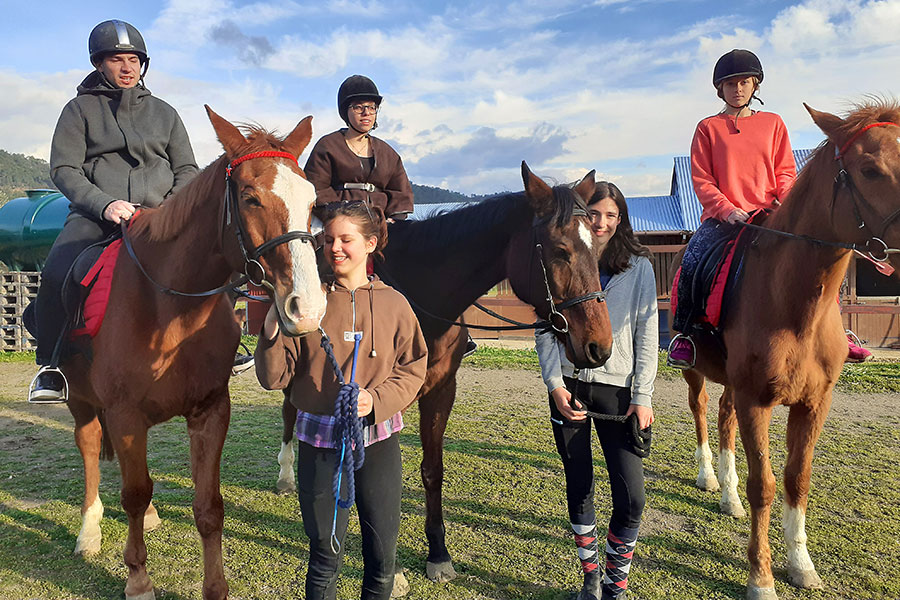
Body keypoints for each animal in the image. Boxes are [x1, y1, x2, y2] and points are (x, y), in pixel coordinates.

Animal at [57, 106, 326, 600]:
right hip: (80, 401)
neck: (171, 310)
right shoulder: (123, 414)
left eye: (313, 201)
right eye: (250, 198)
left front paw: (215, 587)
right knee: (90, 451)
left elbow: (208, 506)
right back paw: (89, 532)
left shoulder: (210, 411)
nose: (308, 308)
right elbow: (133, 493)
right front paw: (138, 580)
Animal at [276, 162, 613, 581]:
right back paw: (286, 475)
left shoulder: (439, 392)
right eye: (560, 251)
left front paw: (437, 553)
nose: (599, 346)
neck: (423, 299)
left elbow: (431, 470)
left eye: (596, 249)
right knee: (290, 412)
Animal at [673, 100, 900, 600]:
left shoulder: (814, 403)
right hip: (695, 370)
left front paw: (801, 565)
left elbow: (798, 480)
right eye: (870, 169)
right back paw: (709, 477)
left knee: (723, 416)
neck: (796, 307)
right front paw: (761, 577)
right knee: (702, 411)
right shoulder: (756, 401)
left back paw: (728, 495)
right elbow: (765, 484)